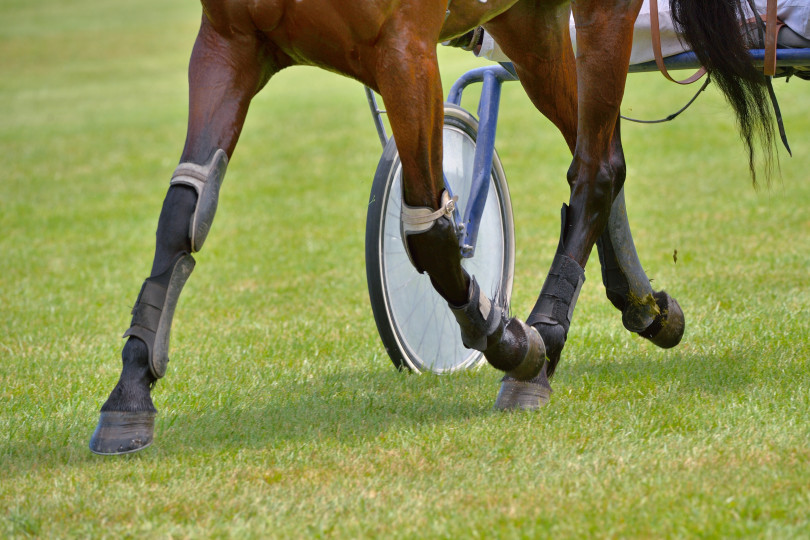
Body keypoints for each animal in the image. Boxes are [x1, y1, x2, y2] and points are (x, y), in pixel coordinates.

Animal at [87, 0, 772, 456]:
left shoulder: (403, 50)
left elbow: (429, 232)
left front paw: (510, 339)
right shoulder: (231, 42)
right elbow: (184, 211)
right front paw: (130, 396)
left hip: (599, 12)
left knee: (594, 167)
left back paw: (545, 337)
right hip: (530, 21)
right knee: (600, 150)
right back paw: (644, 305)